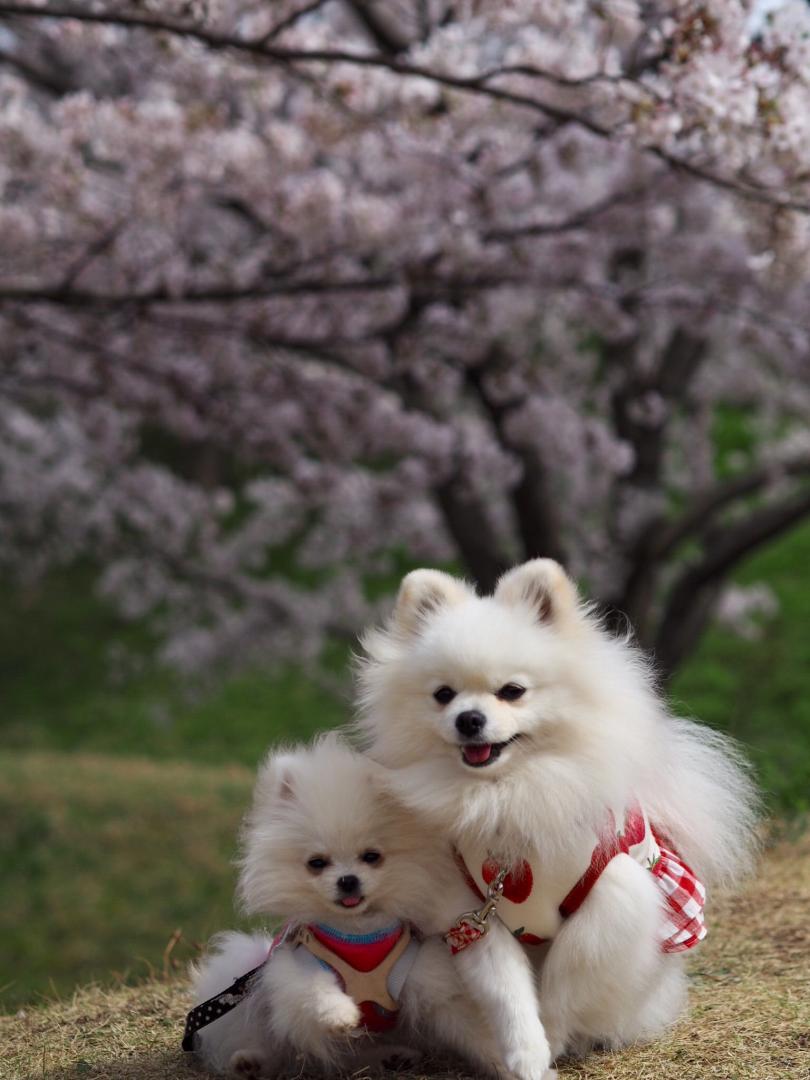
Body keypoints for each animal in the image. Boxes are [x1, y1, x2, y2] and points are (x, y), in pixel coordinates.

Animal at [190, 738, 501, 1075]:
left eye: (372, 856)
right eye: (316, 863)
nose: (348, 880)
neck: (359, 932)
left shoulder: (426, 980)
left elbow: (467, 1027)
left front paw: (505, 1062)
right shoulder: (297, 966)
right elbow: (314, 989)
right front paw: (339, 1015)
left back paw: (393, 1056)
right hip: (248, 979)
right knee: (266, 1040)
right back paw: (250, 1063)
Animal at [354, 557, 760, 1071]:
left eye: (512, 691)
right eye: (443, 695)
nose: (469, 719)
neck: (508, 793)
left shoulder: (611, 894)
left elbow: (570, 972)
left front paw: (557, 1035)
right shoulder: (473, 916)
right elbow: (508, 994)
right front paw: (527, 1057)